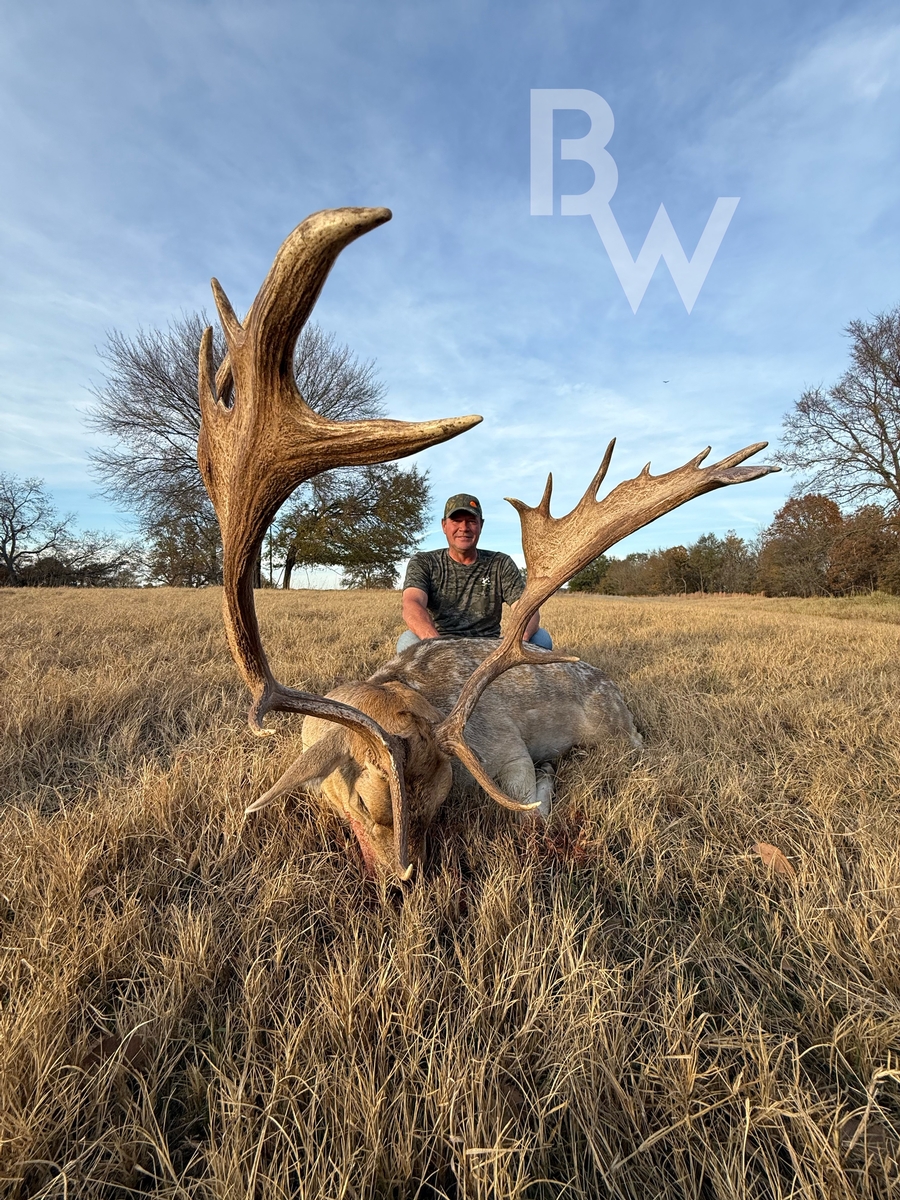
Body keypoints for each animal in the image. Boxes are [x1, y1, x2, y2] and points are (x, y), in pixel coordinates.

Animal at [197, 206, 779, 880]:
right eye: (364, 800)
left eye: (441, 799)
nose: (403, 881)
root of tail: (614, 686)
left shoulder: (504, 750)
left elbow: (531, 805)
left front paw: (546, 783)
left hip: (618, 734)